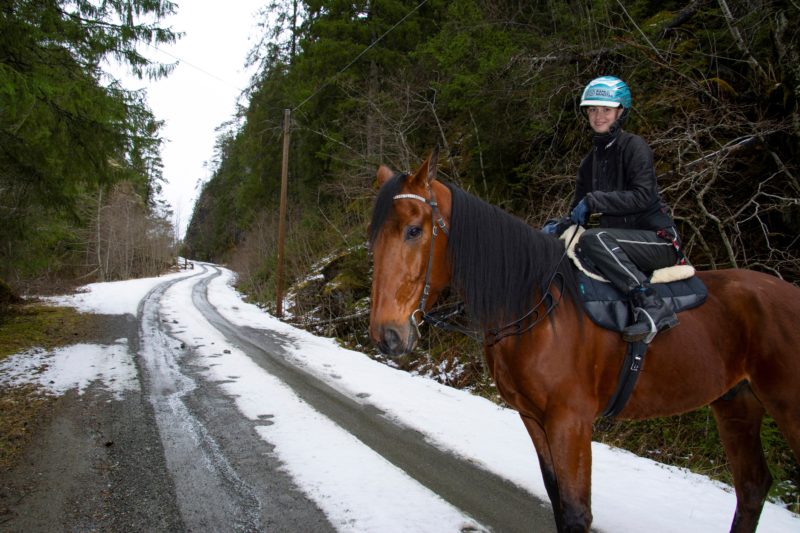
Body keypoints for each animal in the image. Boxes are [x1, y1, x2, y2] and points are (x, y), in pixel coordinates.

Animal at [368, 148, 800, 528]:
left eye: (413, 230)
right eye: (374, 238)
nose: (386, 335)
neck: (536, 306)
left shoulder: (570, 421)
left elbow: (577, 511)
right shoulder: (534, 419)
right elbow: (560, 504)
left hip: (785, 407)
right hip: (735, 404)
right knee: (752, 487)